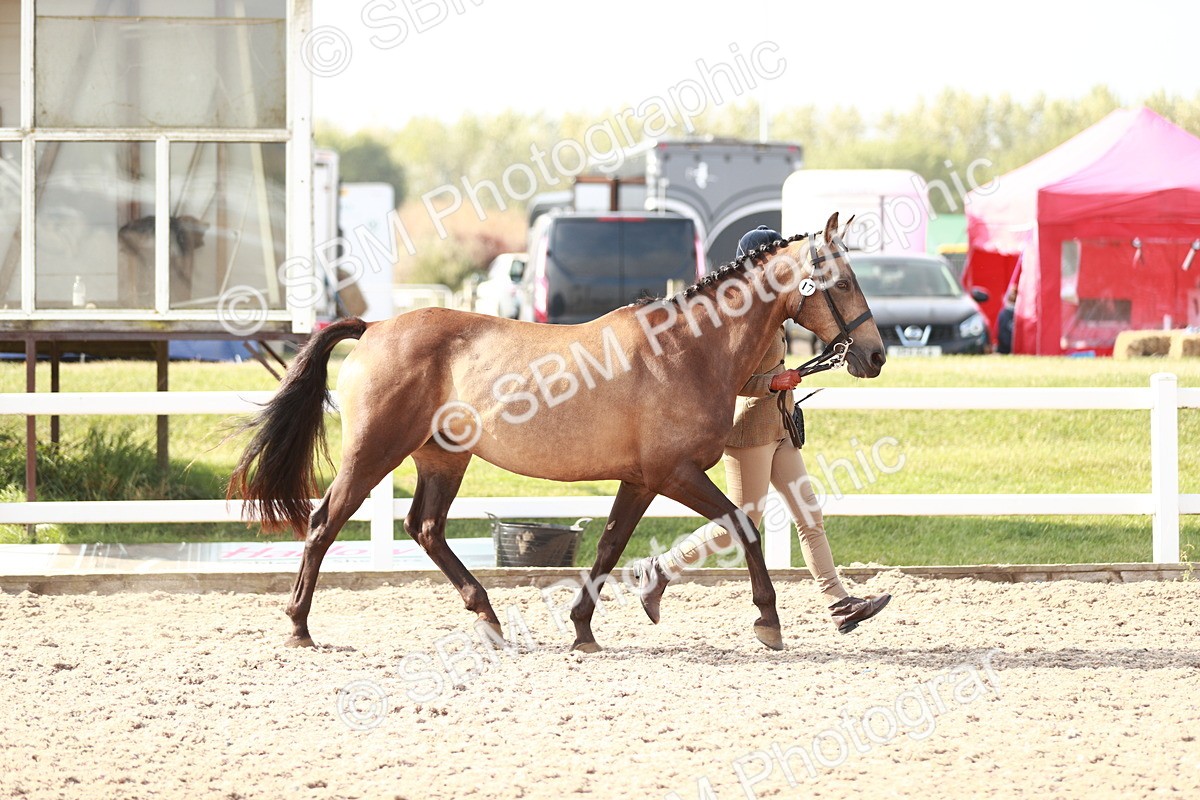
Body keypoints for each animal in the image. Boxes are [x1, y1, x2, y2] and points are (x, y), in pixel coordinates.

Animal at [228, 212, 885, 652]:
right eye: (843, 282)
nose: (876, 355)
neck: (686, 349)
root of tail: (373, 328)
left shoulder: (640, 480)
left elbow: (610, 546)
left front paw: (583, 629)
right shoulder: (673, 473)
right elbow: (742, 526)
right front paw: (768, 622)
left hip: (443, 457)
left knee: (426, 528)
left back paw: (489, 619)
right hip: (374, 453)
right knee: (324, 523)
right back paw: (299, 627)